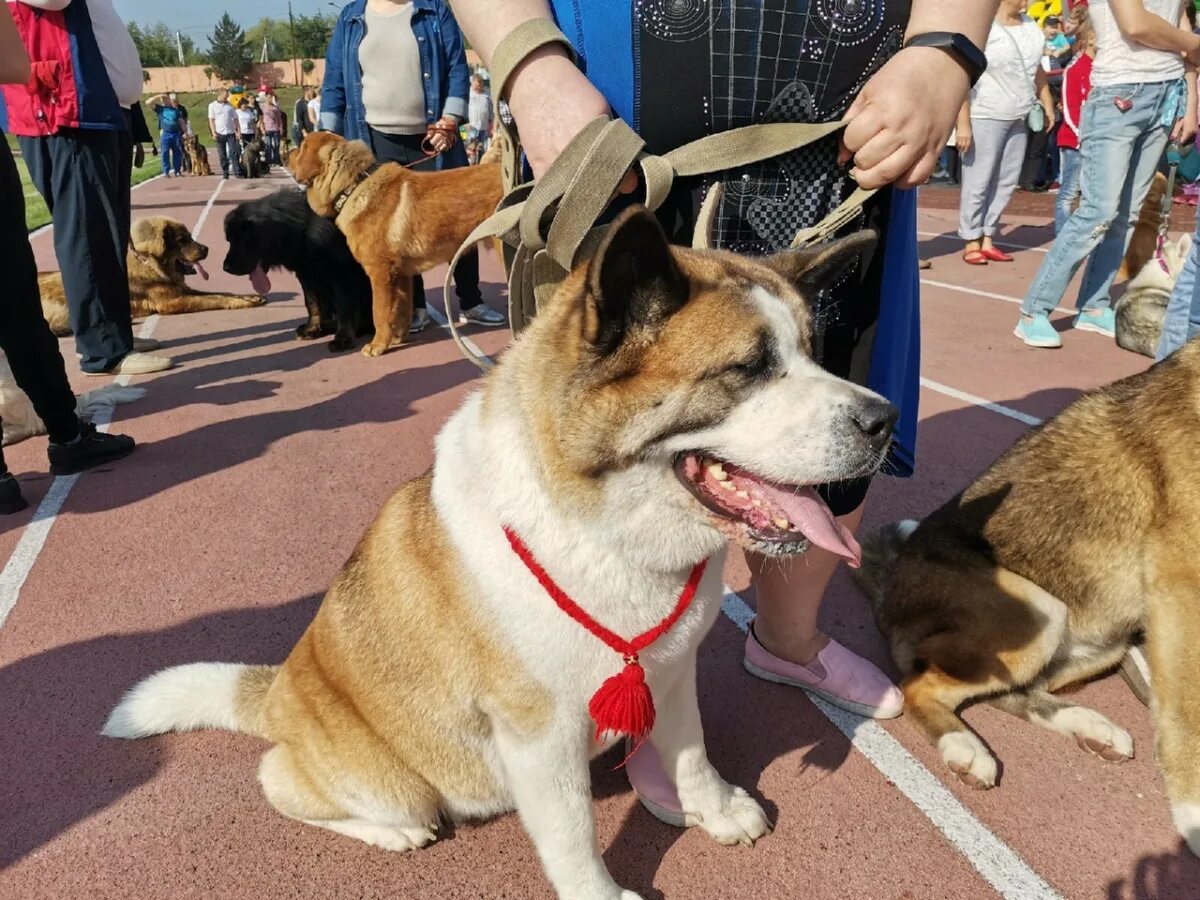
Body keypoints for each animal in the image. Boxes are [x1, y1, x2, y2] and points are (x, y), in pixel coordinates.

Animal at [103, 207, 897, 897]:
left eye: (813, 353)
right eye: (748, 369)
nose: (884, 419)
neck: (601, 528)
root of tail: (276, 694)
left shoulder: (672, 673)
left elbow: (692, 747)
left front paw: (714, 805)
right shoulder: (541, 735)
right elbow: (574, 835)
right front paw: (600, 894)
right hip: (391, 786)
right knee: (282, 782)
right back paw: (390, 832)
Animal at [223, 189, 372, 352]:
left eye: (241, 240)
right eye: (229, 240)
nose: (225, 267)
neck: (301, 229)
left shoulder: (342, 273)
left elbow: (345, 309)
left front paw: (343, 338)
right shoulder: (307, 274)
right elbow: (312, 304)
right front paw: (311, 328)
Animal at [288, 132, 504, 357]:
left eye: (301, 148)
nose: (286, 152)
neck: (353, 186)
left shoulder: (380, 272)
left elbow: (379, 312)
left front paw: (377, 345)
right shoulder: (402, 274)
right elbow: (401, 309)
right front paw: (397, 338)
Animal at [854, 340, 1200, 859]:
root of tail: (888, 590)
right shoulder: (1180, 585)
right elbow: (1186, 714)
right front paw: (1193, 811)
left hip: (1103, 637)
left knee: (1012, 692)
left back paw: (1086, 725)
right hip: (1042, 612)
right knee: (920, 686)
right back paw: (964, 747)